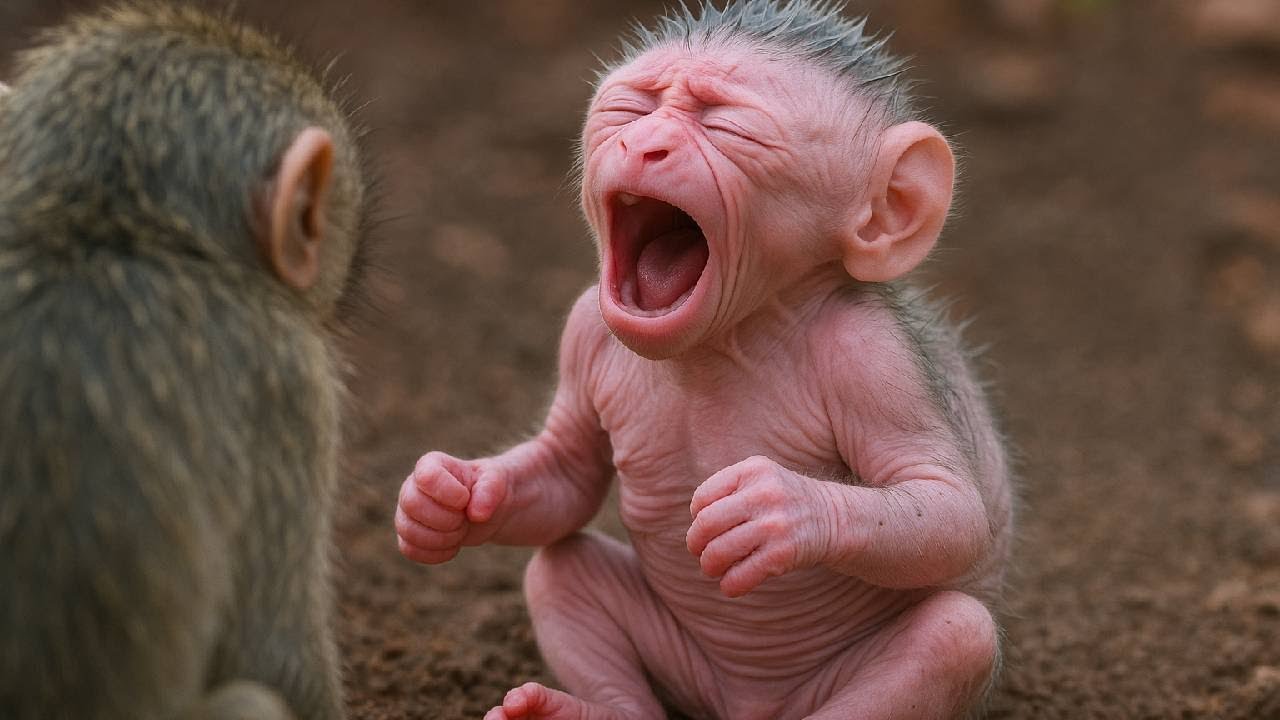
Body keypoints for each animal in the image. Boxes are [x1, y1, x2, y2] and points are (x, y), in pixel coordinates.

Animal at [396, 1, 1013, 718]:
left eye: (727, 125)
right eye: (632, 108)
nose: (644, 145)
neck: (721, 341)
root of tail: (743, 705)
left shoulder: (872, 359)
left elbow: (949, 508)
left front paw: (778, 507)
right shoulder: (583, 331)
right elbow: (568, 475)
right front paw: (448, 497)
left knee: (952, 637)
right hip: (686, 673)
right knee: (561, 570)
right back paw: (577, 708)